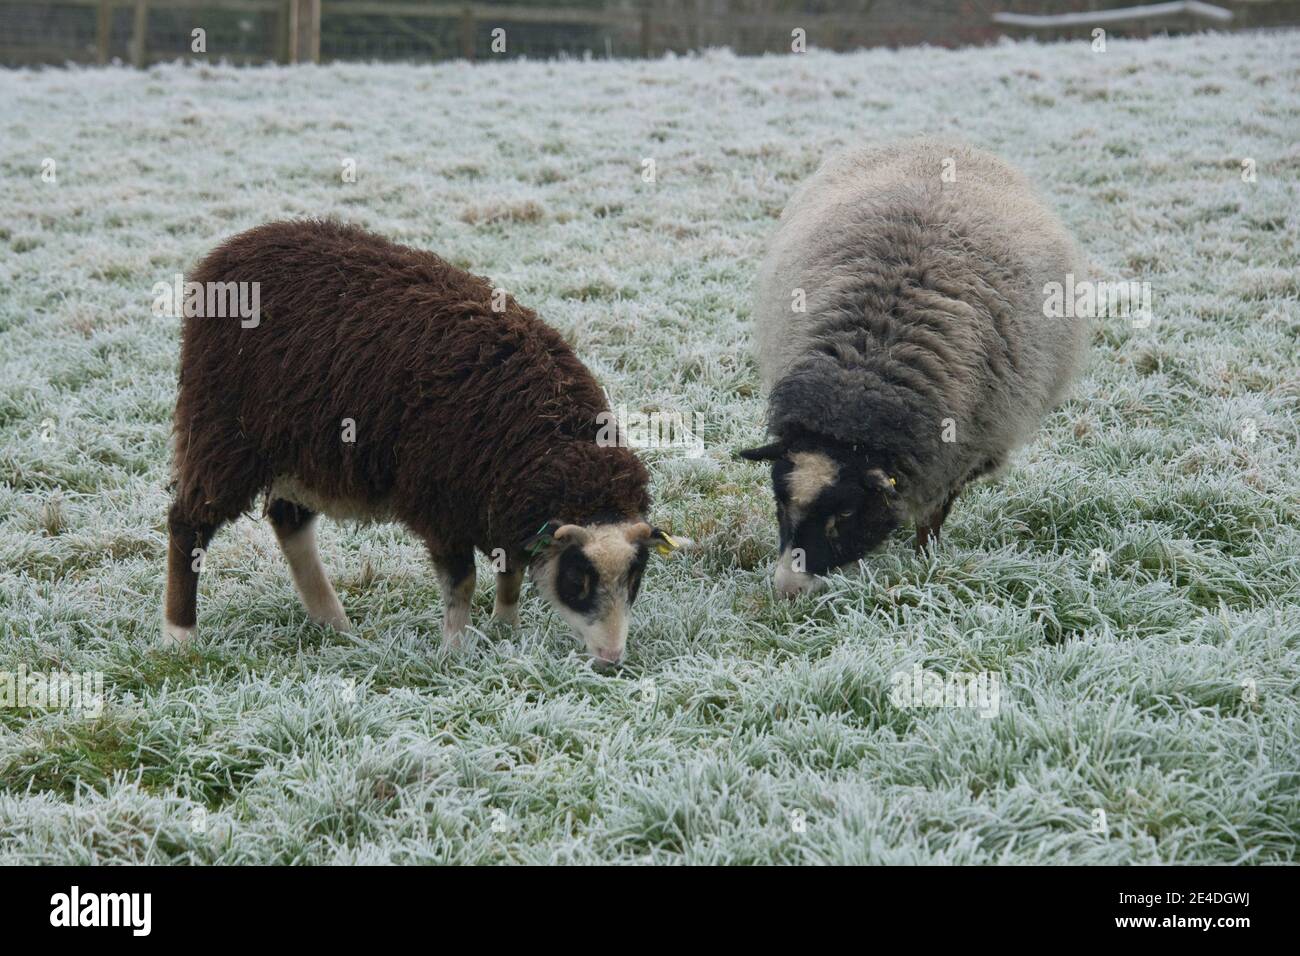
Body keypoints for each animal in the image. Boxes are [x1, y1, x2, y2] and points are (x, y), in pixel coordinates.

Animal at [163, 219, 680, 664]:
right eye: (578, 579)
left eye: (636, 578)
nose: (611, 660)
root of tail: (234, 248)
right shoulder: (443, 504)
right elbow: (463, 581)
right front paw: (454, 652)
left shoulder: (498, 500)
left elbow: (510, 570)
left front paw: (504, 629)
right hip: (222, 433)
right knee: (188, 523)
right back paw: (180, 635)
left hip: (299, 449)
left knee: (289, 521)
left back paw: (334, 623)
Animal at [740, 139, 1089, 596]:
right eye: (780, 500)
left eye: (847, 512)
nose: (788, 588)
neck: (863, 377)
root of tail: (940, 142)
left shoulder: (960, 453)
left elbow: (932, 517)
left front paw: (927, 559)